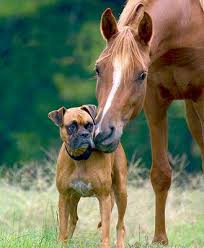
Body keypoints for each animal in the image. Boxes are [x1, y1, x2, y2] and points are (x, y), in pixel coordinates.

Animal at [48, 105, 127, 248]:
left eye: (89, 125)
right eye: (72, 126)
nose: (85, 134)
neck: (80, 158)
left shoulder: (104, 198)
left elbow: (105, 229)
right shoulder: (64, 197)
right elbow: (63, 225)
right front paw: (62, 242)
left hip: (121, 192)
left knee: (120, 225)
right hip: (73, 198)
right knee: (73, 219)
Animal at [93, 0, 204, 244]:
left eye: (141, 74)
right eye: (98, 69)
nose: (103, 133)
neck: (185, 22)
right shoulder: (154, 102)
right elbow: (160, 174)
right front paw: (160, 239)